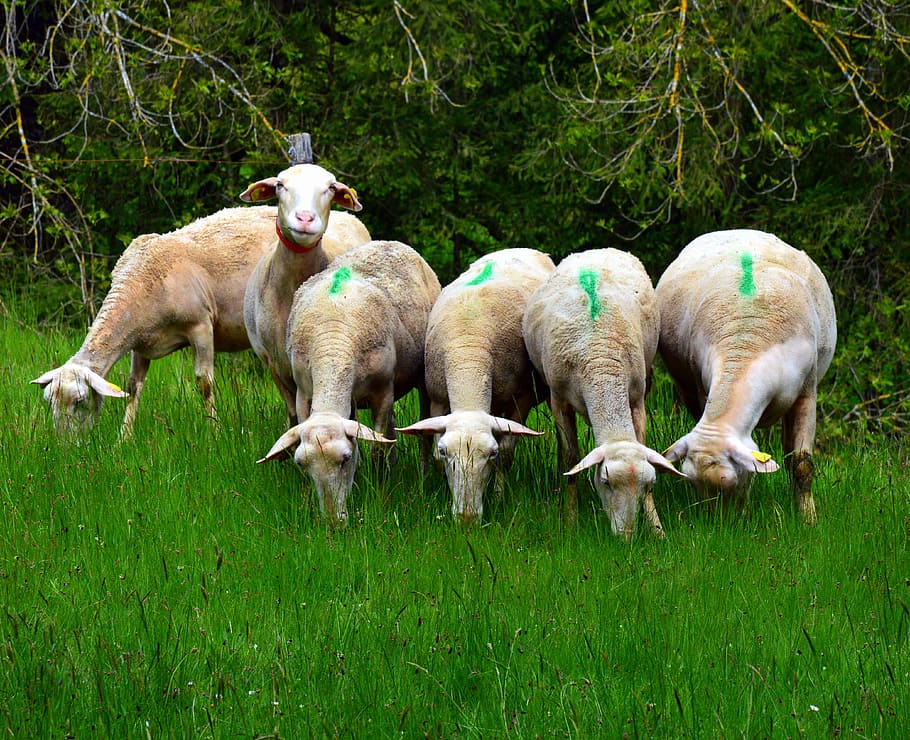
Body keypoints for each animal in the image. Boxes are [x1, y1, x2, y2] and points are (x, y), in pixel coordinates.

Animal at [31, 205, 281, 434]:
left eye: (80, 401)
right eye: (50, 402)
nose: (65, 445)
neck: (139, 284)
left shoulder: (201, 326)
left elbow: (204, 383)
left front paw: (215, 432)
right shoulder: (139, 344)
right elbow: (133, 387)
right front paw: (124, 438)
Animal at [256, 240, 441, 523]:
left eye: (345, 458)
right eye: (301, 463)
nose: (333, 522)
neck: (332, 346)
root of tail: (388, 242)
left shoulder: (383, 393)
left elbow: (376, 448)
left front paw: (378, 484)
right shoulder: (303, 392)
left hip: (423, 375)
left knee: (421, 431)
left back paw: (421, 473)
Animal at [396, 248, 555, 522]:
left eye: (491, 454)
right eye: (445, 452)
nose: (467, 519)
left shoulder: (522, 398)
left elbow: (507, 453)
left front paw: (499, 497)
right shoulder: (438, 398)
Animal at [523, 249, 686, 537]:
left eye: (649, 484)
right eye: (605, 481)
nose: (626, 536)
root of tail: (597, 251)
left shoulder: (637, 399)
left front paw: (656, 528)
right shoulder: (559, 400)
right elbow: (572, 457)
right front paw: (570, 520)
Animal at [655, 229, 837, 522]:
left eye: (732, 482)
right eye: (693, 485)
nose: (720, 526)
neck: (746, 342)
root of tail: (735, 230)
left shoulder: (806, 393)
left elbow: (802, 464)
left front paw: (808, 519)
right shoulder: (702, 389)